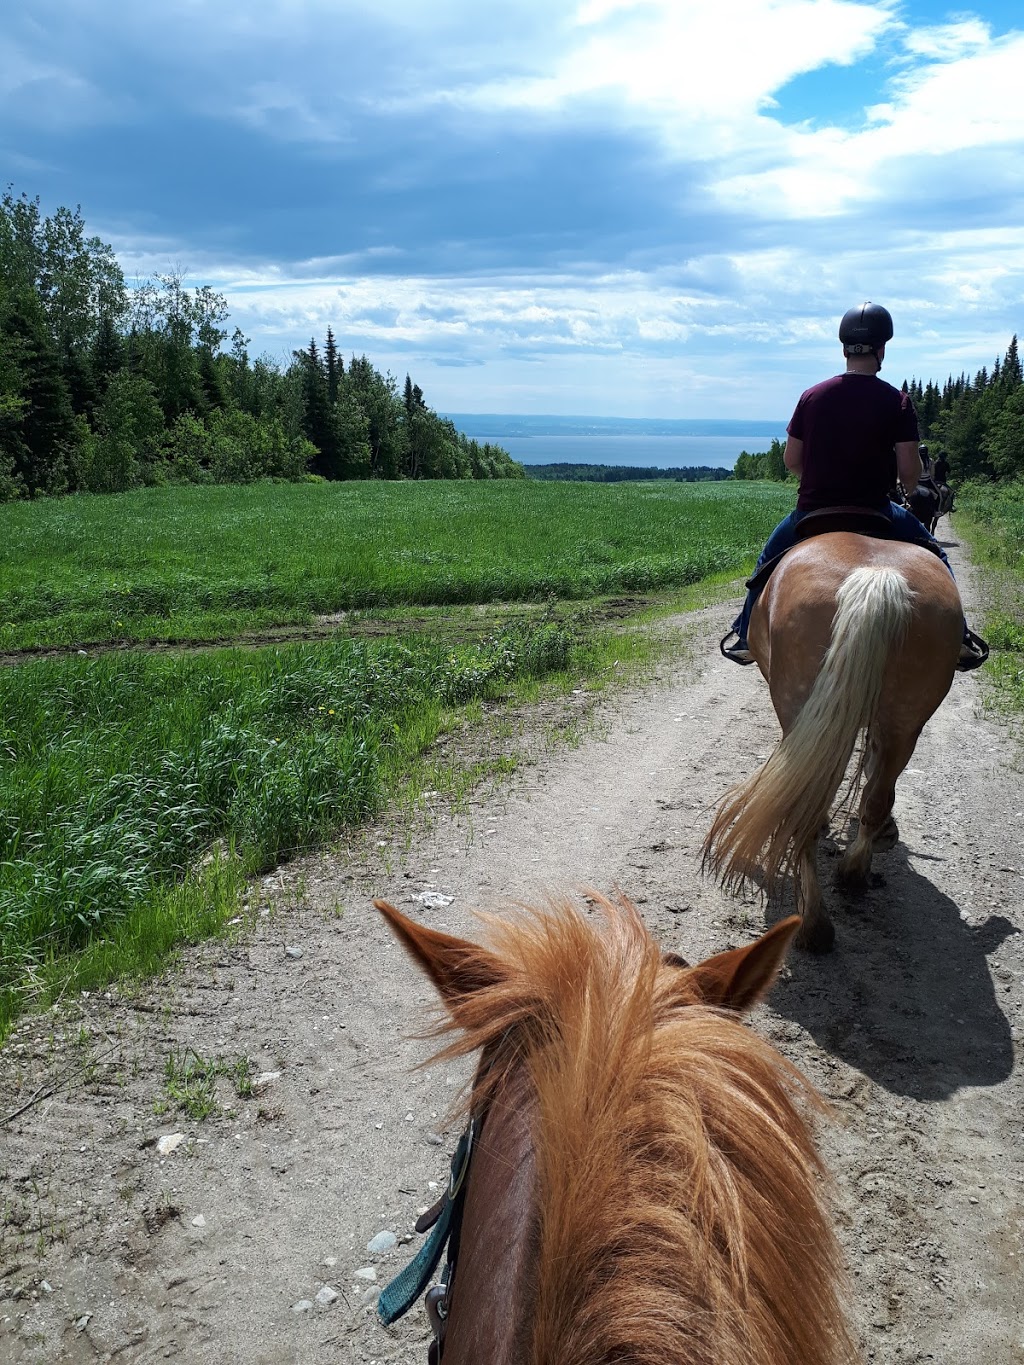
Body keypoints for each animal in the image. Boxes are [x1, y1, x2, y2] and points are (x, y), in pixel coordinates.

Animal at [704, 526, 966, 955]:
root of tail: (877, 576)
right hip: (905, 721)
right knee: (875, 797)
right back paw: (853, 875)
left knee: (808, 811)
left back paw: (814, 922)